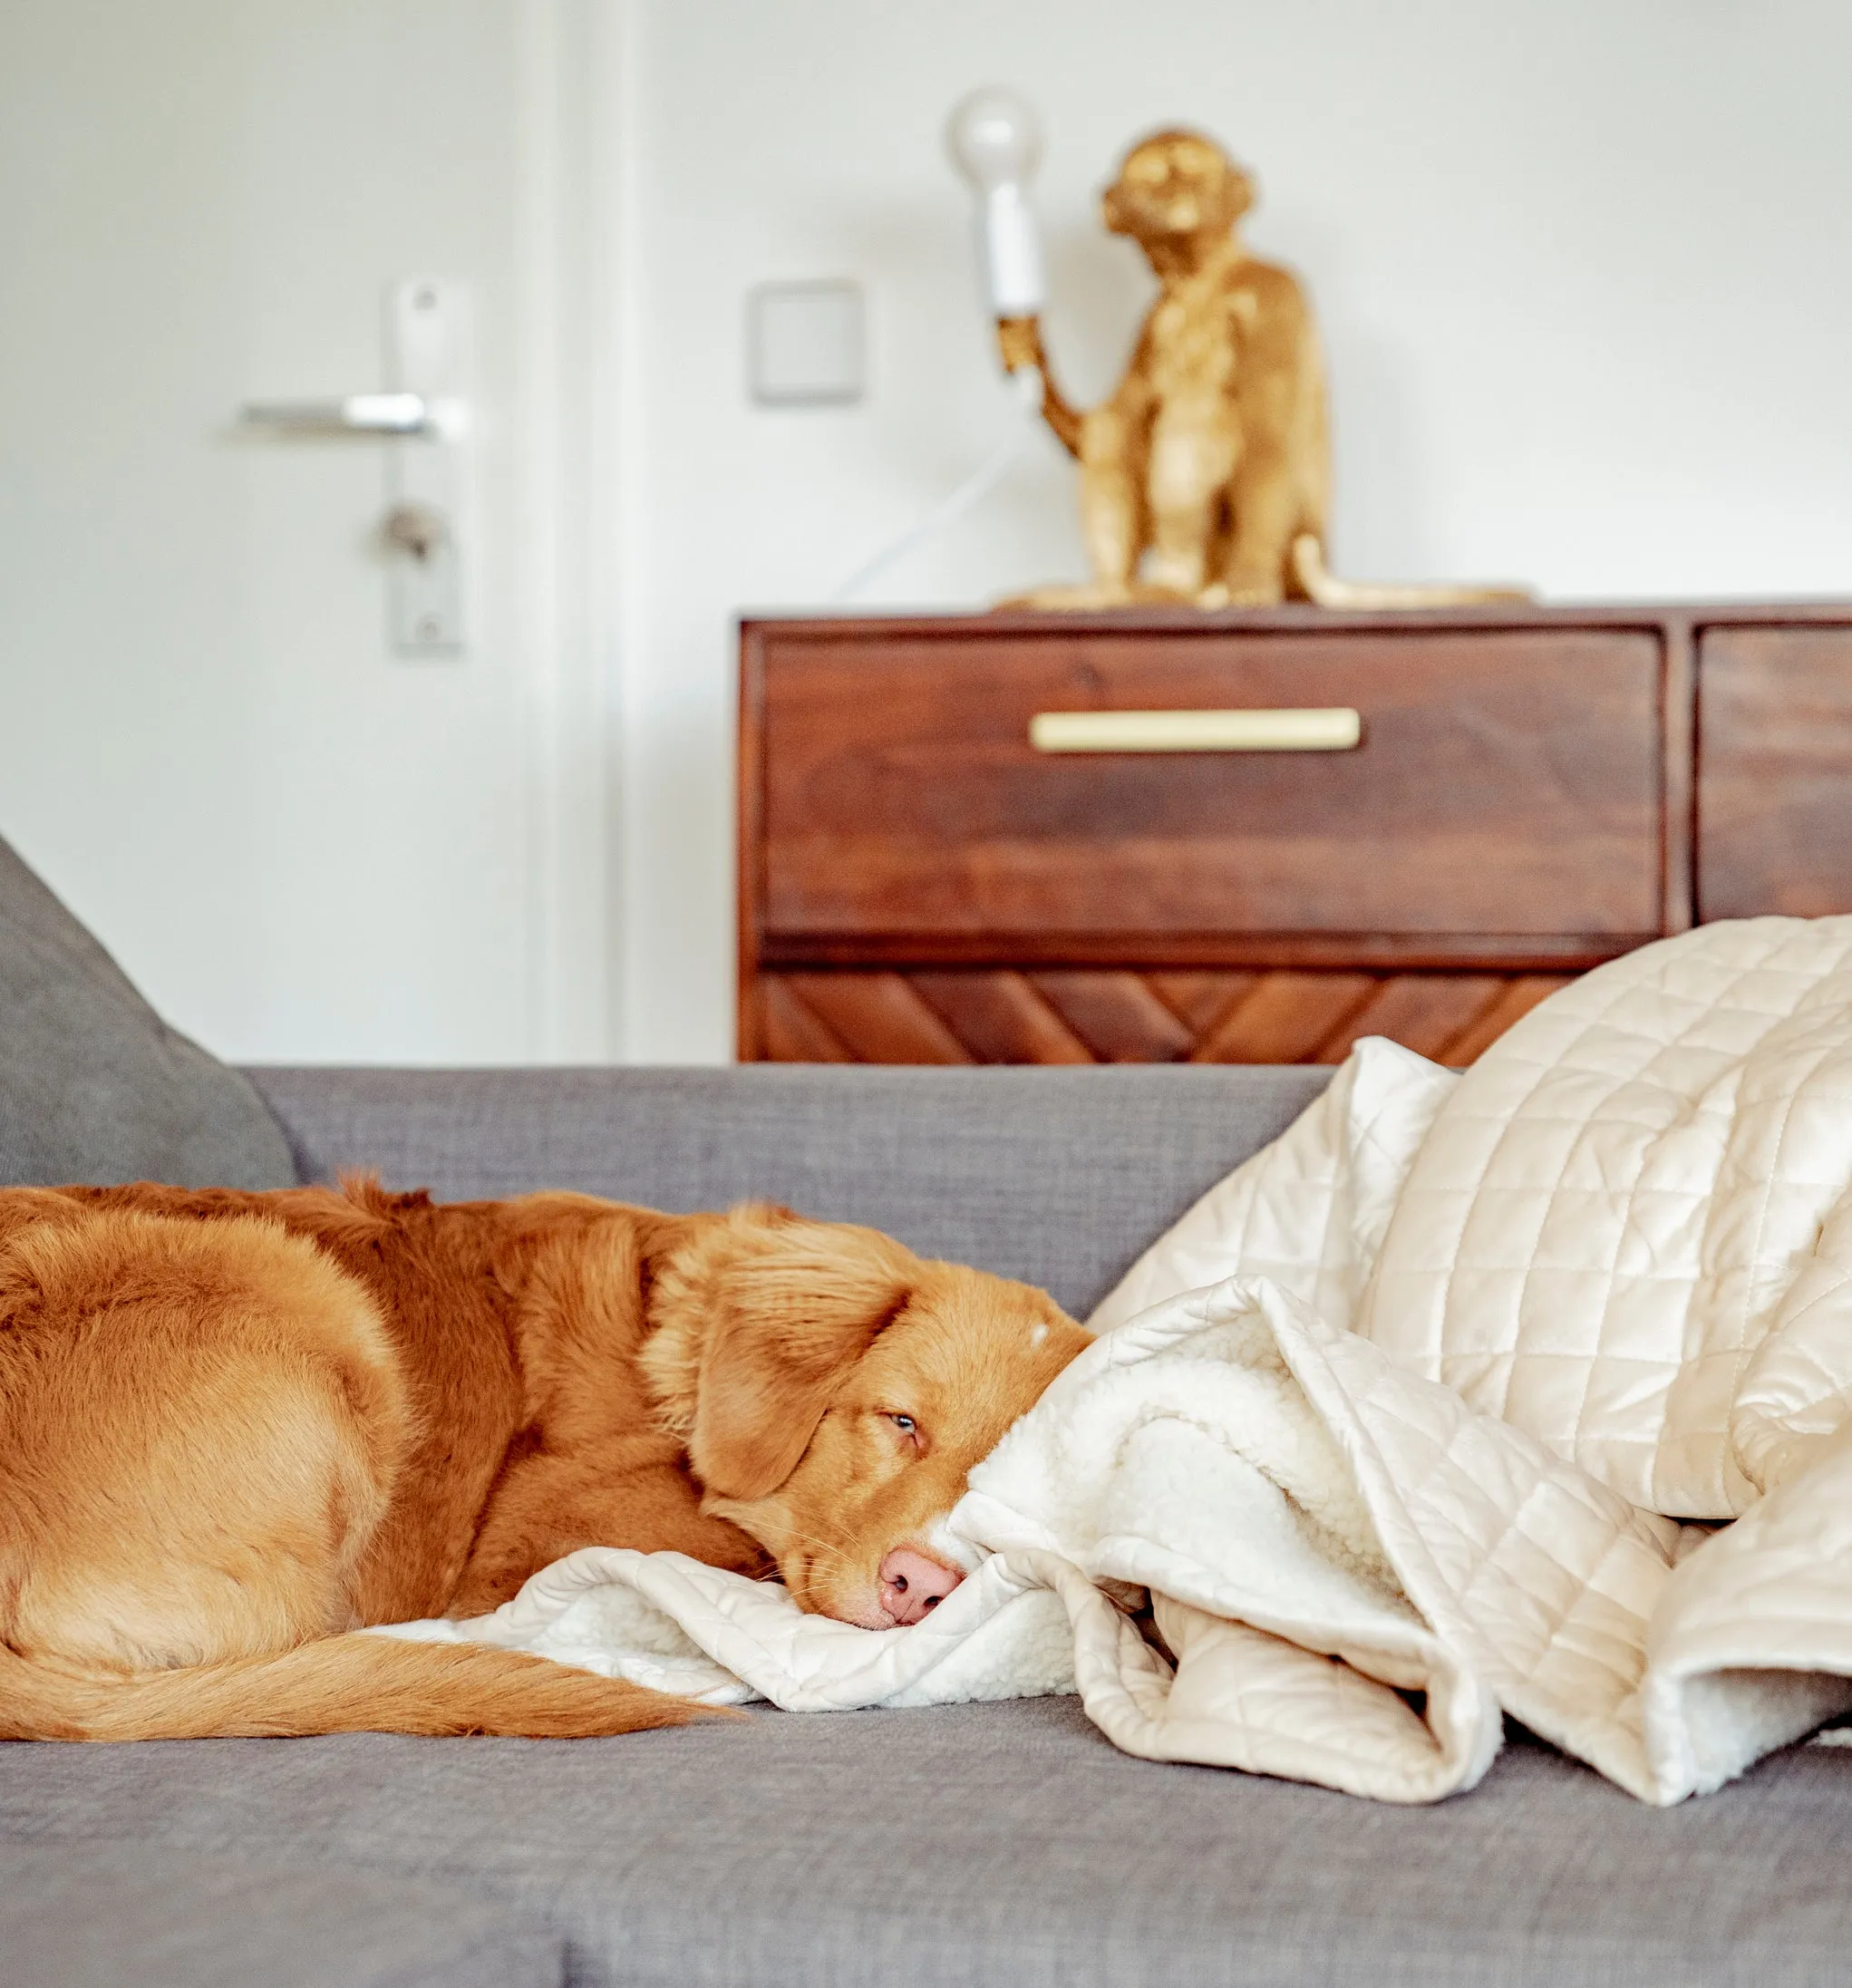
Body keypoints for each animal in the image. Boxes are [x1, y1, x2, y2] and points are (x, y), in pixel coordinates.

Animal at [0, 1177, 1089, 1741]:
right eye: (900, 1422)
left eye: (1011, 1496)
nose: (922, 1588)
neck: (672, 1358)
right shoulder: (534, 1525)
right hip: (305, 1300)